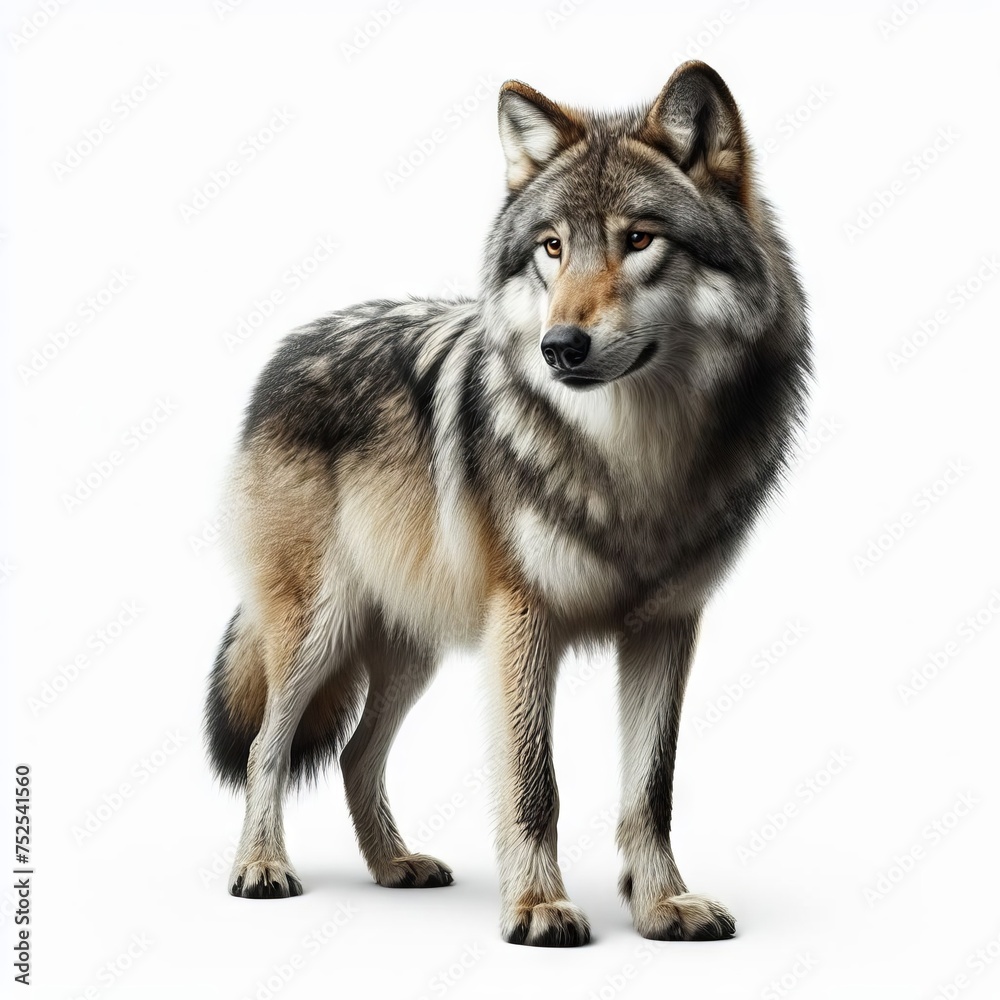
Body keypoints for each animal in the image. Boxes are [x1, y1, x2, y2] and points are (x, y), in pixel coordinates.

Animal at [205, 60, 810, 947]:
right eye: (552, 247)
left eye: (639, 240)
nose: (561, 347)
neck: (635, 461)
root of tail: (291, 346)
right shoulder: (524, 618)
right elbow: (534, 781)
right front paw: (536, 907)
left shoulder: (667, 626)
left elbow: (651, 787)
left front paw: (662, 905)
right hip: (319, 629)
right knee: (266, 749)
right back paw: (260, 867)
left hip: (414, 641)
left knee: (355, 754)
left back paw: (395, 865)